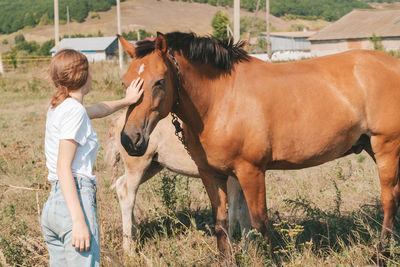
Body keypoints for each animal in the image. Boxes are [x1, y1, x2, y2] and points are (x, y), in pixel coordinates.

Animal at [106, 112, 250, 251]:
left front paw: (248, 251)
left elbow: (244, 215)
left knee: (121, 185)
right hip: (138, 165)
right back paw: (129, 250)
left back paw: (134, 235)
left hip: (153, 166)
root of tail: (118, 119)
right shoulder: (231, 178)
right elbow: (233, 214)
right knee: (127, 193)